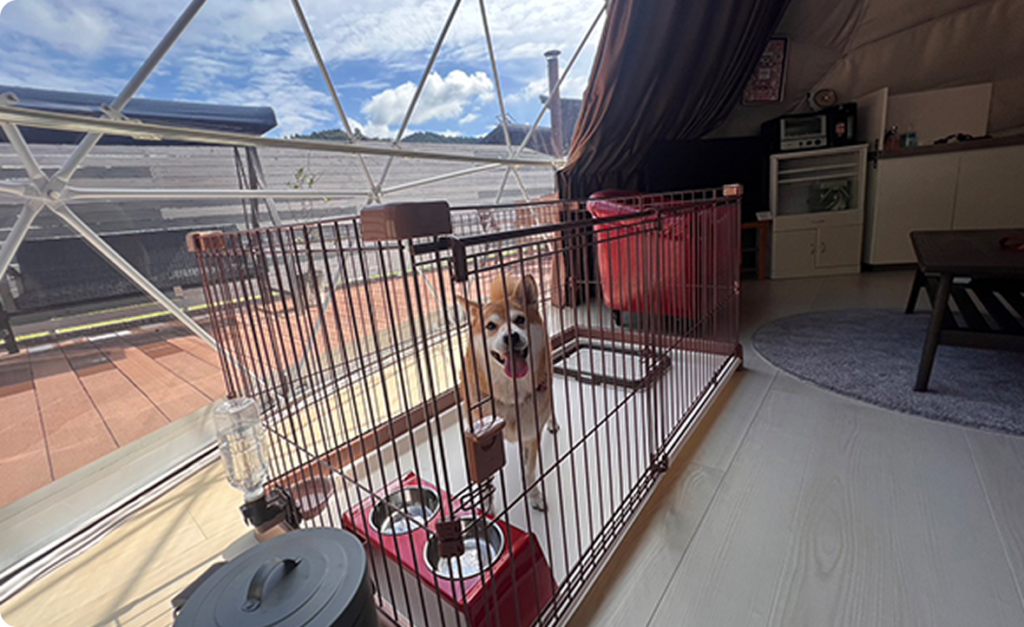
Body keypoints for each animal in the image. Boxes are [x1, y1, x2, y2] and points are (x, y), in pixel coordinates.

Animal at [459, 274, 558, 512]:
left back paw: (552, 422)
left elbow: (530, 472)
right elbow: (485, 478)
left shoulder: (531, 435)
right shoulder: (482, 441)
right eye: (490, 326)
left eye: (520, 319)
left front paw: (534, 496)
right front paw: (485, 502)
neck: (512, 395)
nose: (511, 336)